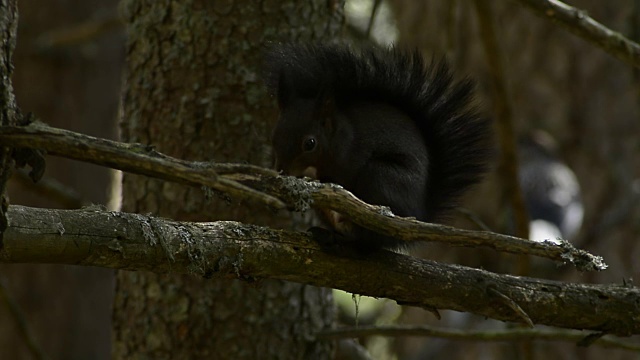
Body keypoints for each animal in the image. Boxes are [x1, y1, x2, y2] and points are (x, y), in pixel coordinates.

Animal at [262, 43, 492, 250]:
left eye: (310, 143)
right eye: (273, 136)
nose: (282, 170)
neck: (338, 137)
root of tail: (419, 213)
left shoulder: (351, 157)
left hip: (381, 177)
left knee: (368, 239)